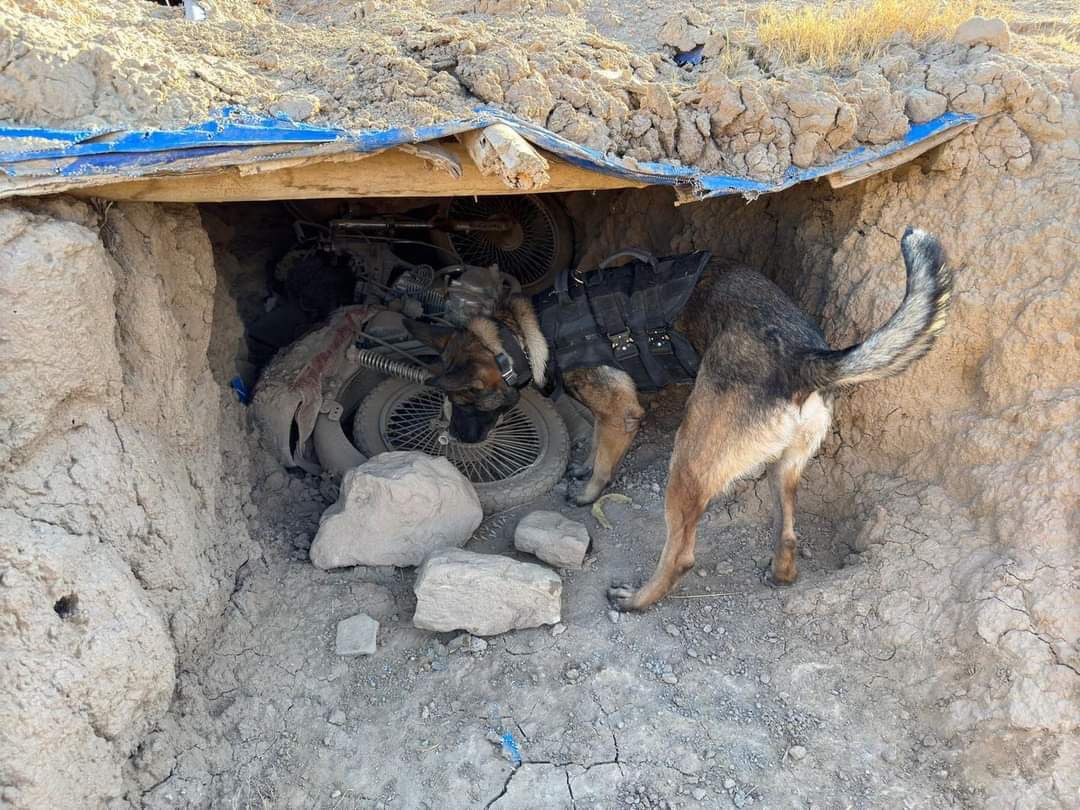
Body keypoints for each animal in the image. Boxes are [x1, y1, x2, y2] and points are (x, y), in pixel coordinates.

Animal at [405, 227, 952, 611]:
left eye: (465, 405)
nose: (453, 437)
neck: (521, 333)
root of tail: (805, 358)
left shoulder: (621, 413)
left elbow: (605, 458)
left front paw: (588, 491)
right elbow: (593, 443)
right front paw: (581, 468)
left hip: (687, 463)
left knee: (682, 552)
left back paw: (639, 600)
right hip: (785, 469)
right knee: (788, 530)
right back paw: (780, 572)